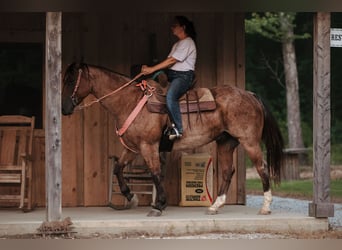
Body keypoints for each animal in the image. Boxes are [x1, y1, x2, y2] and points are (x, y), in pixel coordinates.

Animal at [60, 62, 284, 217]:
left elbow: (155, 173)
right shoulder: (132, 148)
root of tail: (250, 94)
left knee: (262, 167)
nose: (64, 108)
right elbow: (118, 169)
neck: (129, 102)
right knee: (228, 172)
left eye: (70, 81)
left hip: (249, 141)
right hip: (226, 143)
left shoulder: (148, 146)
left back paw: (265, 207)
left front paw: (158, 206)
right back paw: (215, 206)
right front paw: (131, 197)